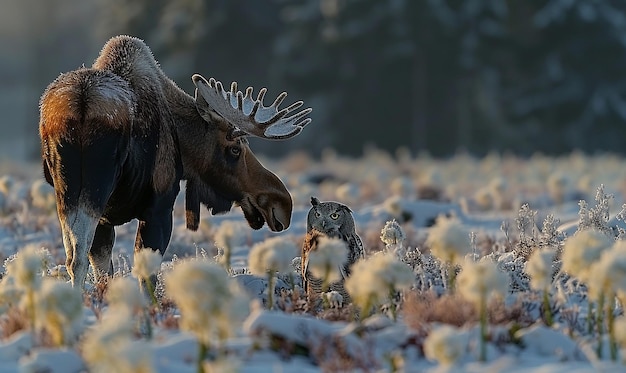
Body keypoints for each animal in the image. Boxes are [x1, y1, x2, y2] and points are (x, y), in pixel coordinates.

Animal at [37, 35, 310, 288]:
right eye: (235, 149)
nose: (282, 203)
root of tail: (81, 105)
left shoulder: (107, 220)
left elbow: (106, 272)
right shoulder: (159, 207)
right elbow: (146, 276)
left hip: (67, 192)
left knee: (72, 255)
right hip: (96, 188)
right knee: (77, 258)